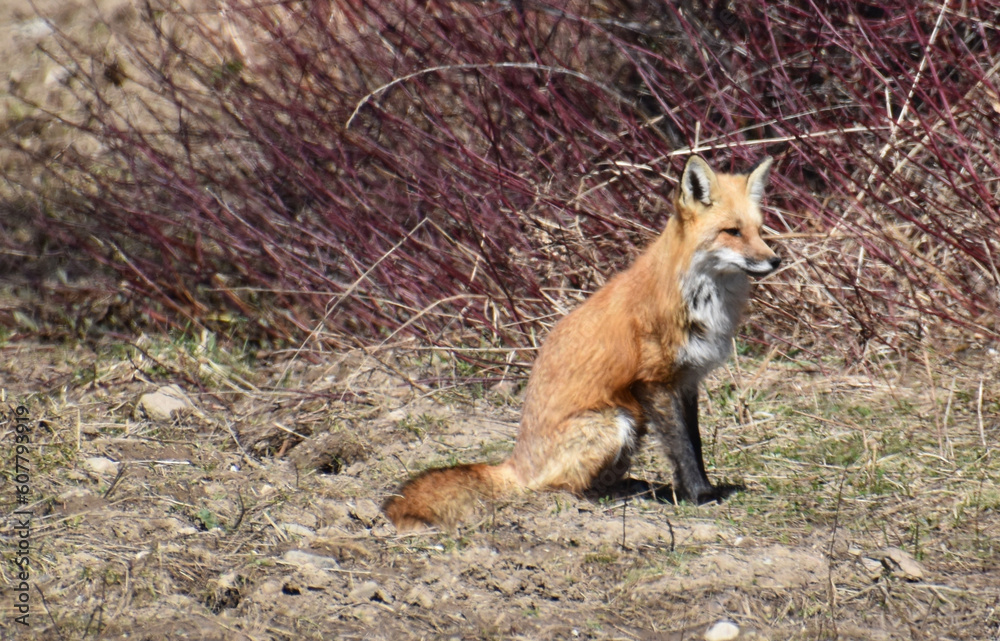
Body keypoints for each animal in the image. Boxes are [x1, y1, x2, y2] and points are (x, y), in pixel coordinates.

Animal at [383, 155, 781, 531]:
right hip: (615, 421)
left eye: (760, 230)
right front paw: (699, 495)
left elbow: (694, 442)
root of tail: (517, 463)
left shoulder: (687, 380)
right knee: (557, 488)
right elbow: (681, 446)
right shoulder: (655, 381)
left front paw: (700, 488)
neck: (702, 300)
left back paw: (631, 488)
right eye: (732, 231)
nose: (775, 260)